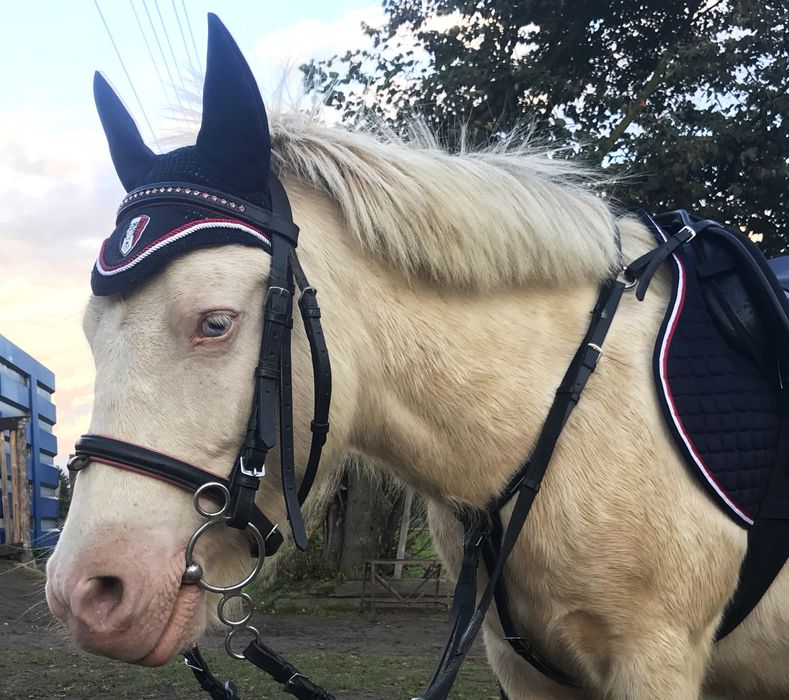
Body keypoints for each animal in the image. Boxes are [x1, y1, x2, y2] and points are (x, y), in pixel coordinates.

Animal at [45, 14, 787, 700]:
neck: (574, 419)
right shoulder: (525, 670)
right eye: (92, 332)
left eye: (216, 323)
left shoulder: (653, 661)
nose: (86, 593)